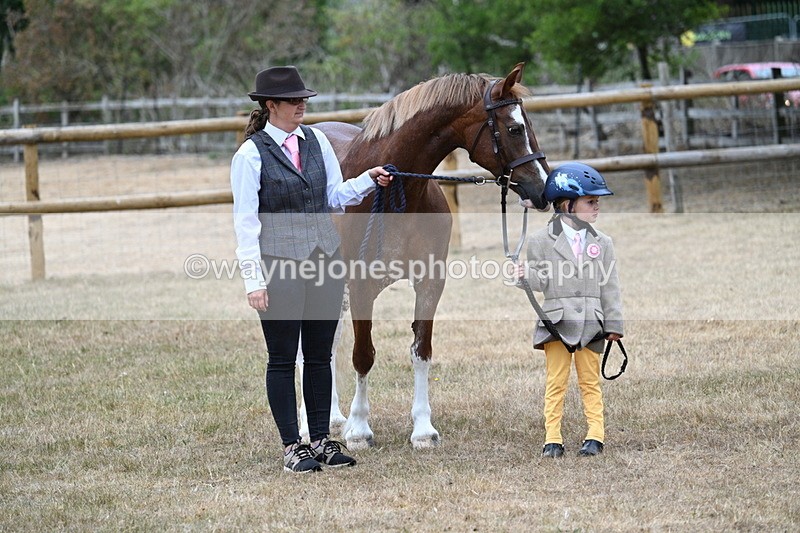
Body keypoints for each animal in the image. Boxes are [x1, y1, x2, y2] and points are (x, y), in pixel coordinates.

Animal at [310, 62, 550, 449]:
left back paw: (332, 417)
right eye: (515, 128)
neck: (398, 191)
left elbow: (421, 351)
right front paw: (360, 430)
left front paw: (423, 429)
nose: (543, 188)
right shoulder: (361, 286)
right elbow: (363, 355)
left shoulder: (429, 282)